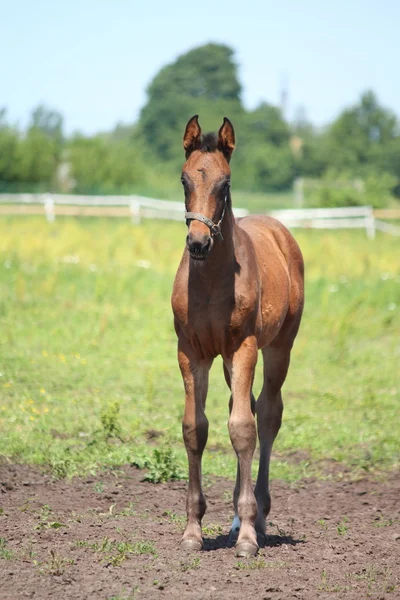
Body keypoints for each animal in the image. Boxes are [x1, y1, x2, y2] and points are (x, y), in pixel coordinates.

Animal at [170, 115, 304, 556]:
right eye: (184, 179)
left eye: (225, 184)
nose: (197, 242)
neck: (212, 282)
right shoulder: (191, 352)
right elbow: (196, 428)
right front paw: (193, 530)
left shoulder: (244, 347)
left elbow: (243, 428)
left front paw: (247, 536)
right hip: (229, 361)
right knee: (241, 405)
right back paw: (232, 519)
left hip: (278, 347)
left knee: (268, 414)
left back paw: (257, 517)